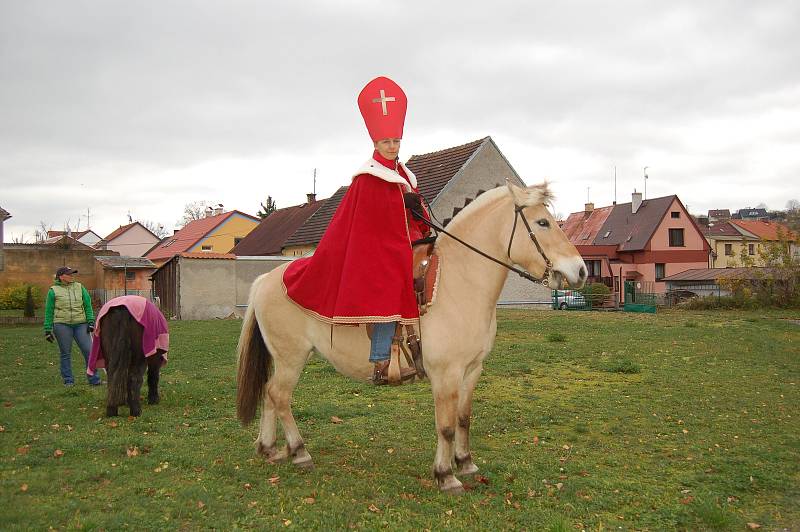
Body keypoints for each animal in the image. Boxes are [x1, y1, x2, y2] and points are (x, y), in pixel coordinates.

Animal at [234, 183, 584, 494]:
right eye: (542, 222)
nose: (580, 271)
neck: (458, 283)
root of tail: (266, 279)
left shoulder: (472, 371)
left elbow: (464, 418)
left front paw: (465, 463)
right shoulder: (446, 375)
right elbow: (445, 425)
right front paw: (446, 475)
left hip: (285, 358)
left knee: (269, 394)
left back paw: (269, 448)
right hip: (291, 357)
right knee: (279, 396)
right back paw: (299, 451)